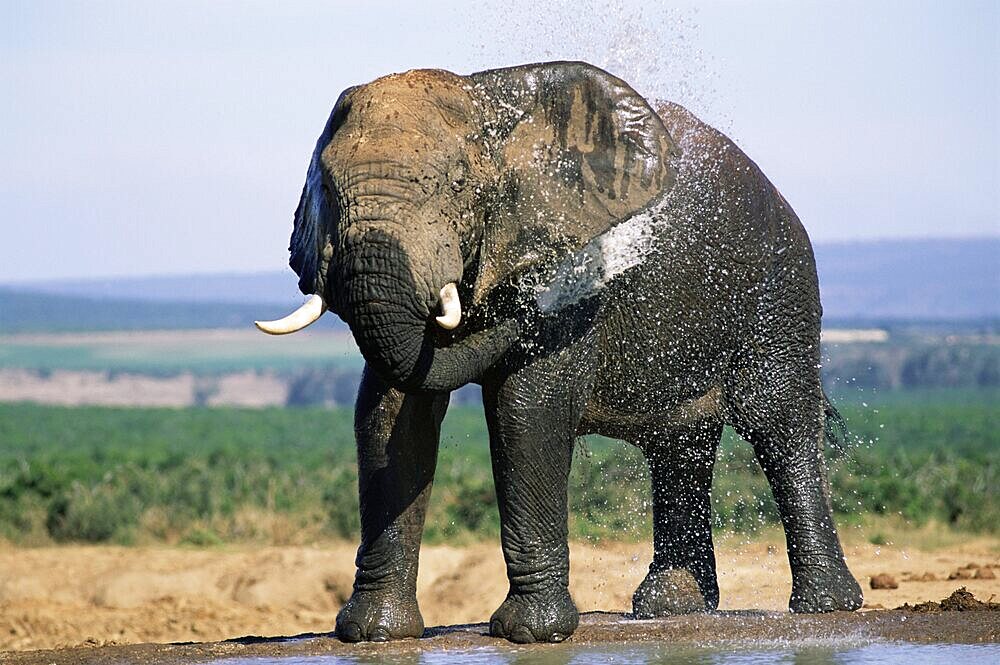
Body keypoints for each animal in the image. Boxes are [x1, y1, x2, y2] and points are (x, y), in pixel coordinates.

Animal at [258, 61, 868, 644]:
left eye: (457, 184)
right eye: (327, 189)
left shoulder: (566, 266)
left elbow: (526, 410)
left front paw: (532, 634)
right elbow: (389, 415)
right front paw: (370, 635)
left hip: (779, 287)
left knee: (778, 421)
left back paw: (825, 607)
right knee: (680, 444)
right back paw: (671, 608)